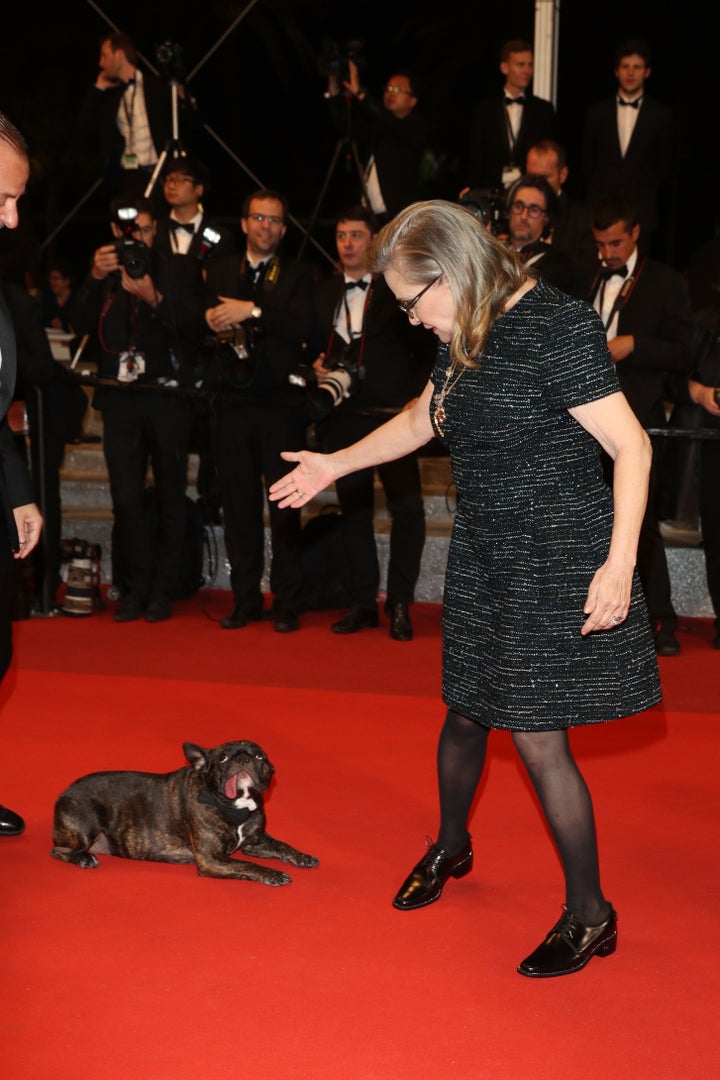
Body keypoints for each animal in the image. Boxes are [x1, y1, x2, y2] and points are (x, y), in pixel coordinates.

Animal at [49, 743, 317, 885]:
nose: (242, 757)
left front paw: (303, 856)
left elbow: (282, 845)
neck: (235, 807)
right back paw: (84, 859)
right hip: (83, 829)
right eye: (223, 758)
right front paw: (271, 873)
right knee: (58, 850)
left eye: (259, 754)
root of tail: (64, 792)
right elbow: (246, 863)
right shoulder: (211, 859)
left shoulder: (256, 843)